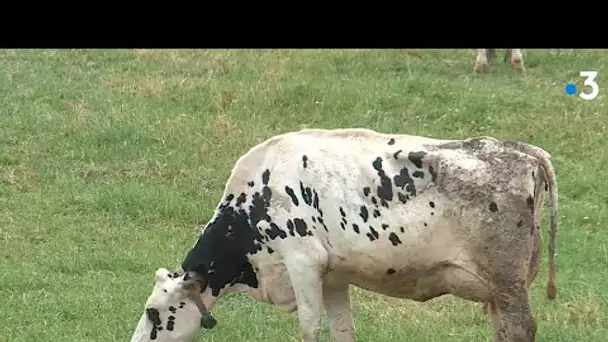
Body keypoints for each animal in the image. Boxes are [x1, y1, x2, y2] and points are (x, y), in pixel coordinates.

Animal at [128, 128, 556, 342]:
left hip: (507, 282)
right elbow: (343, 330)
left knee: (522, 329)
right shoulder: (333, 275)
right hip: (499, 291)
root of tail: (523, 151)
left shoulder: (302, 261)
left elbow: (309, 326)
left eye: (153, 313)